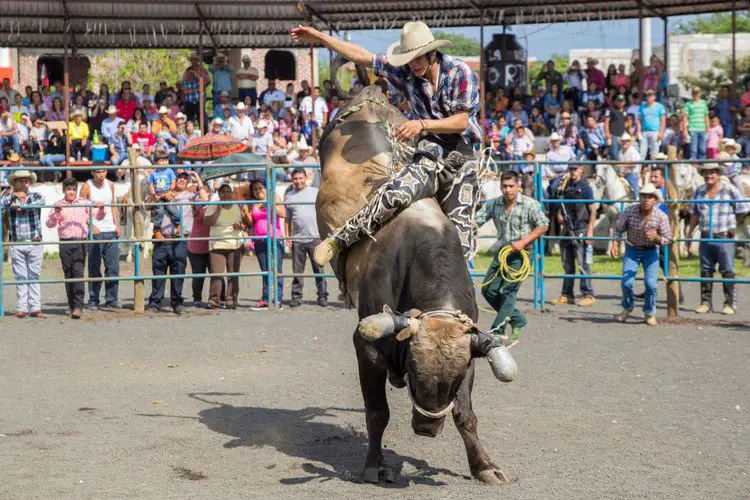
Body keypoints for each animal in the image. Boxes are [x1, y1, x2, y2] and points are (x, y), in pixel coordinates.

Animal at [318, 70, 516, 484]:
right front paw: (374, 465)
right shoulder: (367, 346)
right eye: (412, 369)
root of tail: (372, 93)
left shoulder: (470, 350)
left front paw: (483, 465)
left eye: (452, 382)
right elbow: (377, 413)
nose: (426, 429)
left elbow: (465, 415)